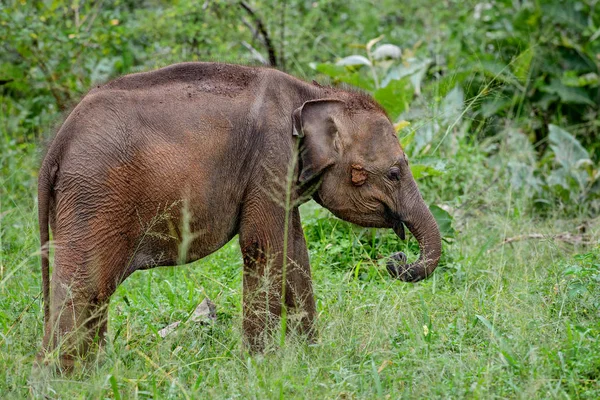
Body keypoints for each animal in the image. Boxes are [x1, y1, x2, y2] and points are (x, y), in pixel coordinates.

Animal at [37, 62, 440, 368]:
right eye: (394, 173)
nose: (397, 261)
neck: (312, 92)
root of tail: (56, 145)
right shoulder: (271, 157)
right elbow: (264, 248)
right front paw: (262, 364)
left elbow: (294, 253)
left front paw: (308, 358)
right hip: (95, 194)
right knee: (85, 285)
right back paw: (66, 376)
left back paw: (89, 370)